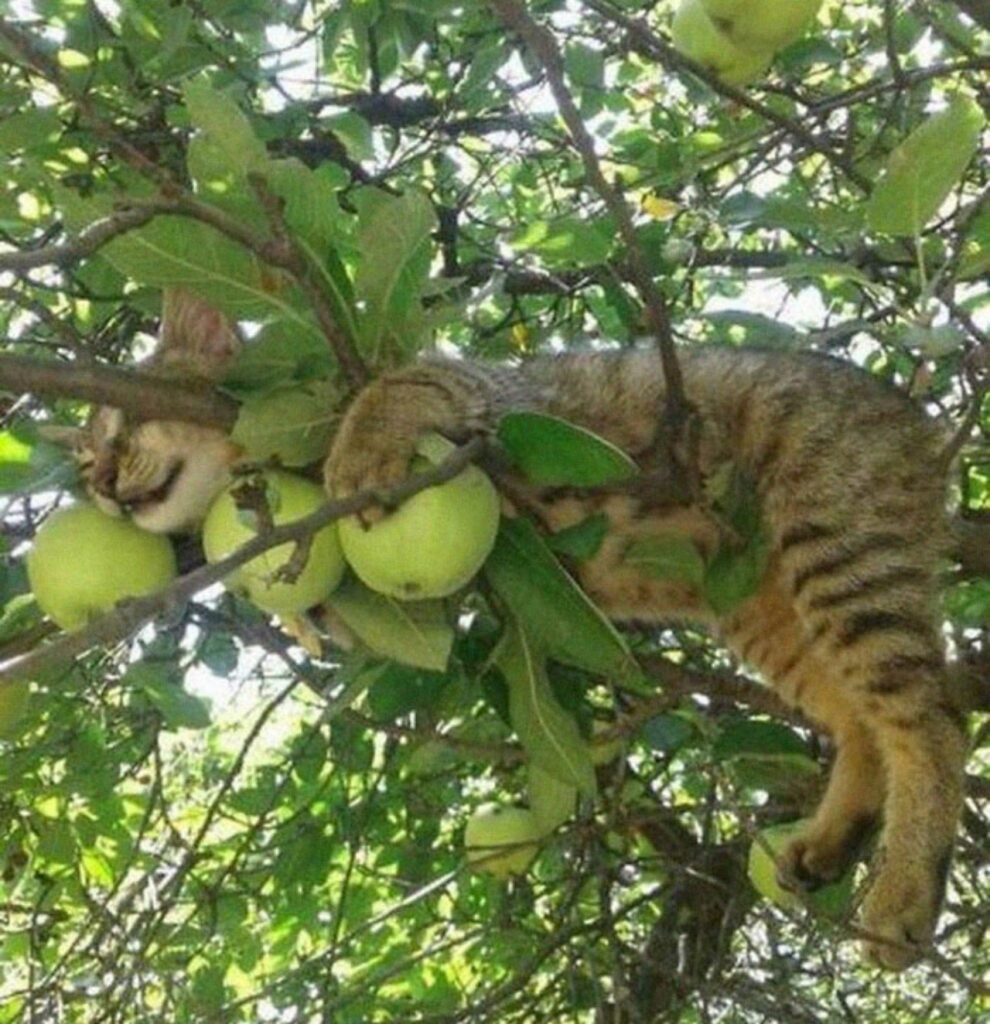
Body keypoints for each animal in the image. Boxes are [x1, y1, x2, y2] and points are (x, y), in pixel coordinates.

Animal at [61, 290, 966, 974]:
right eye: (82, 463)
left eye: (118, 430)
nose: (98, 482)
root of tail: (918, 420)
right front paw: (297, 608)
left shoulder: (489, 397)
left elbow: (396, 384)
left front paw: (357, 450)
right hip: (765, 612)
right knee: (861, 723)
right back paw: (833, 838)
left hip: (836, 548)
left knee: (931, 717)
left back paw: (903, 893)